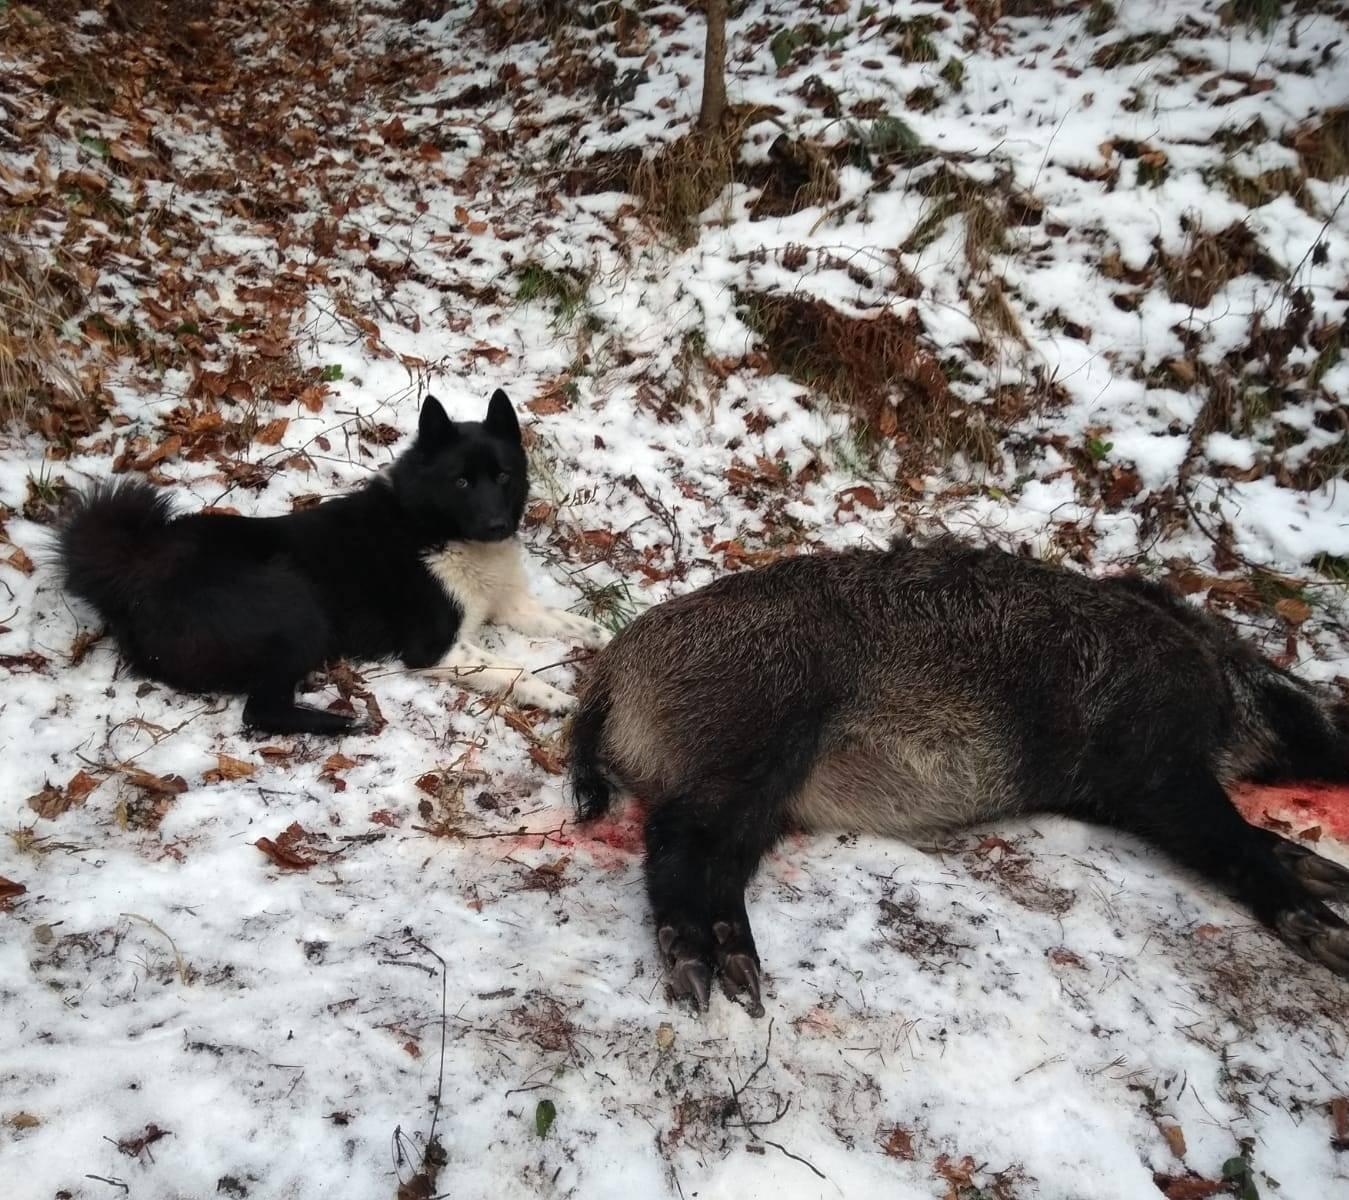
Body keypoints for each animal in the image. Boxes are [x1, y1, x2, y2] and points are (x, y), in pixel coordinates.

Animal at [60, 391, 609, 728]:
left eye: (503, 476)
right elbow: (515, 670)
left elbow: (571, 623)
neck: (429, 526)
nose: (498, 526)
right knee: (261, 713)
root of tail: (137, 573)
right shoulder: (434, 649)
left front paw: (604, 638)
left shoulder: (510, 606)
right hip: (299, 607)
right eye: (461, 481)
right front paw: (557, 697)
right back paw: (344, 722)